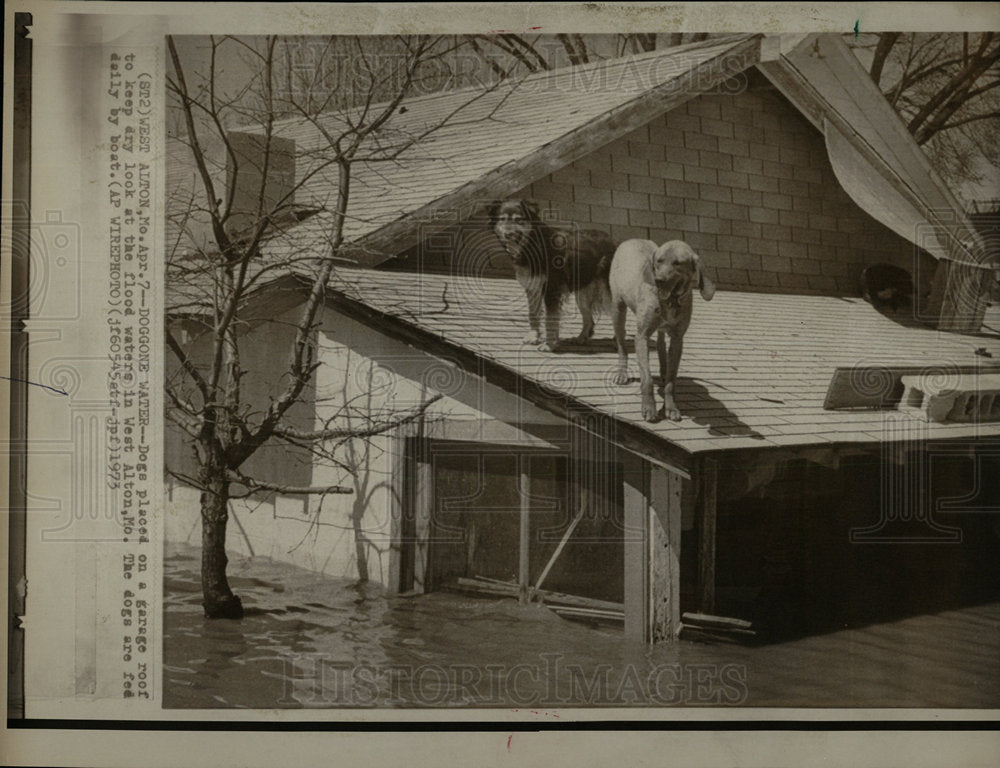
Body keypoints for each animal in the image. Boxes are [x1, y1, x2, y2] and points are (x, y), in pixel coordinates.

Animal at [492, 200, 616, 352]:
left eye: (519, 219)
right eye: (502, 219)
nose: (508, 234)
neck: (534, 243)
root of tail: (611, 240)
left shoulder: (551, 289)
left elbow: (550, 318)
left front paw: (549, 345)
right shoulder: (532, 288)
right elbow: (533, 314)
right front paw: (533, 337)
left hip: (607, 292)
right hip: (582, 293)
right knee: (589, 319)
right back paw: (581, 338)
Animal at [604, 238, 716, 420]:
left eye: (678, 263)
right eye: (659, 261)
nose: (659, 280)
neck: (670, 301)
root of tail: (632, 239)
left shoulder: (677, 340)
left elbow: (671, 381)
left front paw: (671, 407)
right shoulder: (641, 337)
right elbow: (647, 379)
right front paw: (649, 407)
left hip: (661, 330)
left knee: (661, 345)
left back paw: (663, 370)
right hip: (618, 311)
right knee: (622, 346)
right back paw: (622, 373)